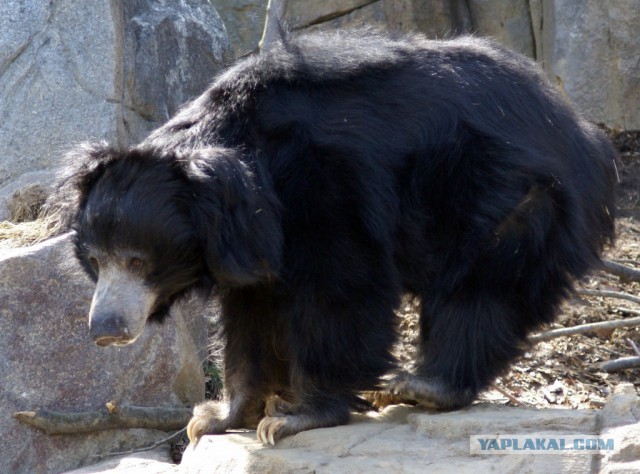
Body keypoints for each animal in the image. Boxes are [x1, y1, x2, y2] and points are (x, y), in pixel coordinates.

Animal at [56, 29, 616, 445]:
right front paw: (216, 417)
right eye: (95, 259)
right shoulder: (249, 247)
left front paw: (293, 417)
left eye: (136, 260)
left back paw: (421, 385)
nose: (104, 329)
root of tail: (579, 129)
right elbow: (250, 316)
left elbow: (338, 291)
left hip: (505, 193)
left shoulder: (326, 191)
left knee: (481, 288)